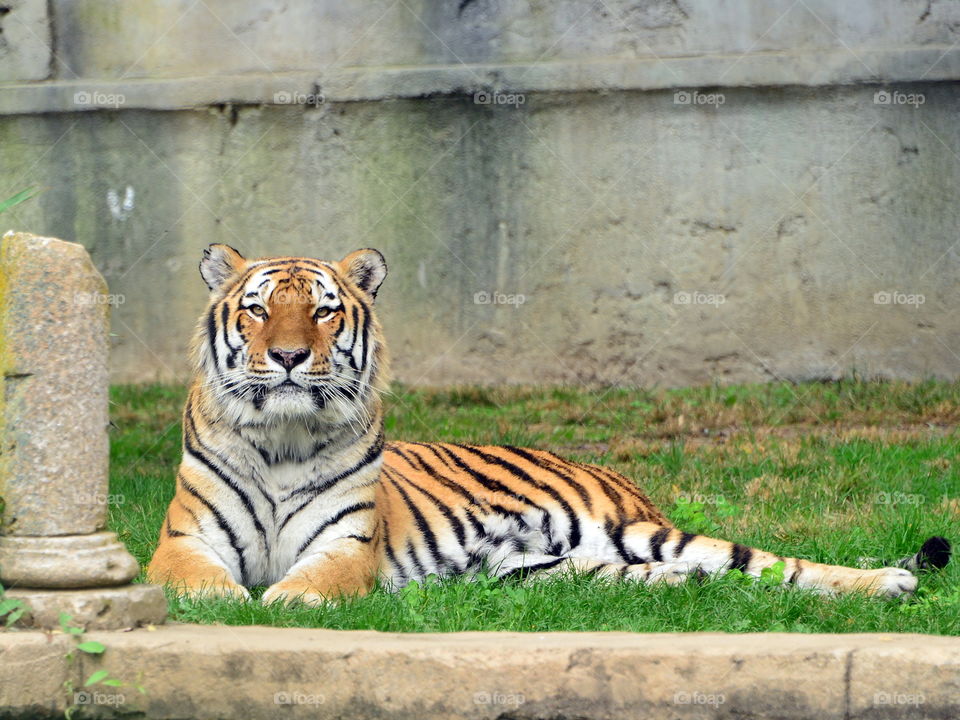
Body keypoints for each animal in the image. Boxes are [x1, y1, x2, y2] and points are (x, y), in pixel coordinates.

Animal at [146, 245, 951, 605]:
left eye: (322, 311)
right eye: (257, 309)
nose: (286, 356)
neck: (282, 439)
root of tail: (606, 467)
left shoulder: (346, 546)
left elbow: (311, 582)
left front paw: (284, 600)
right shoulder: (184, 542)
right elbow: (202, 584)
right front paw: (233, 604)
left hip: (631, 531)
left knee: (773, 564)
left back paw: (889, 583)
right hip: (550, 567)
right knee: (686, 575)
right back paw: (679, 584)